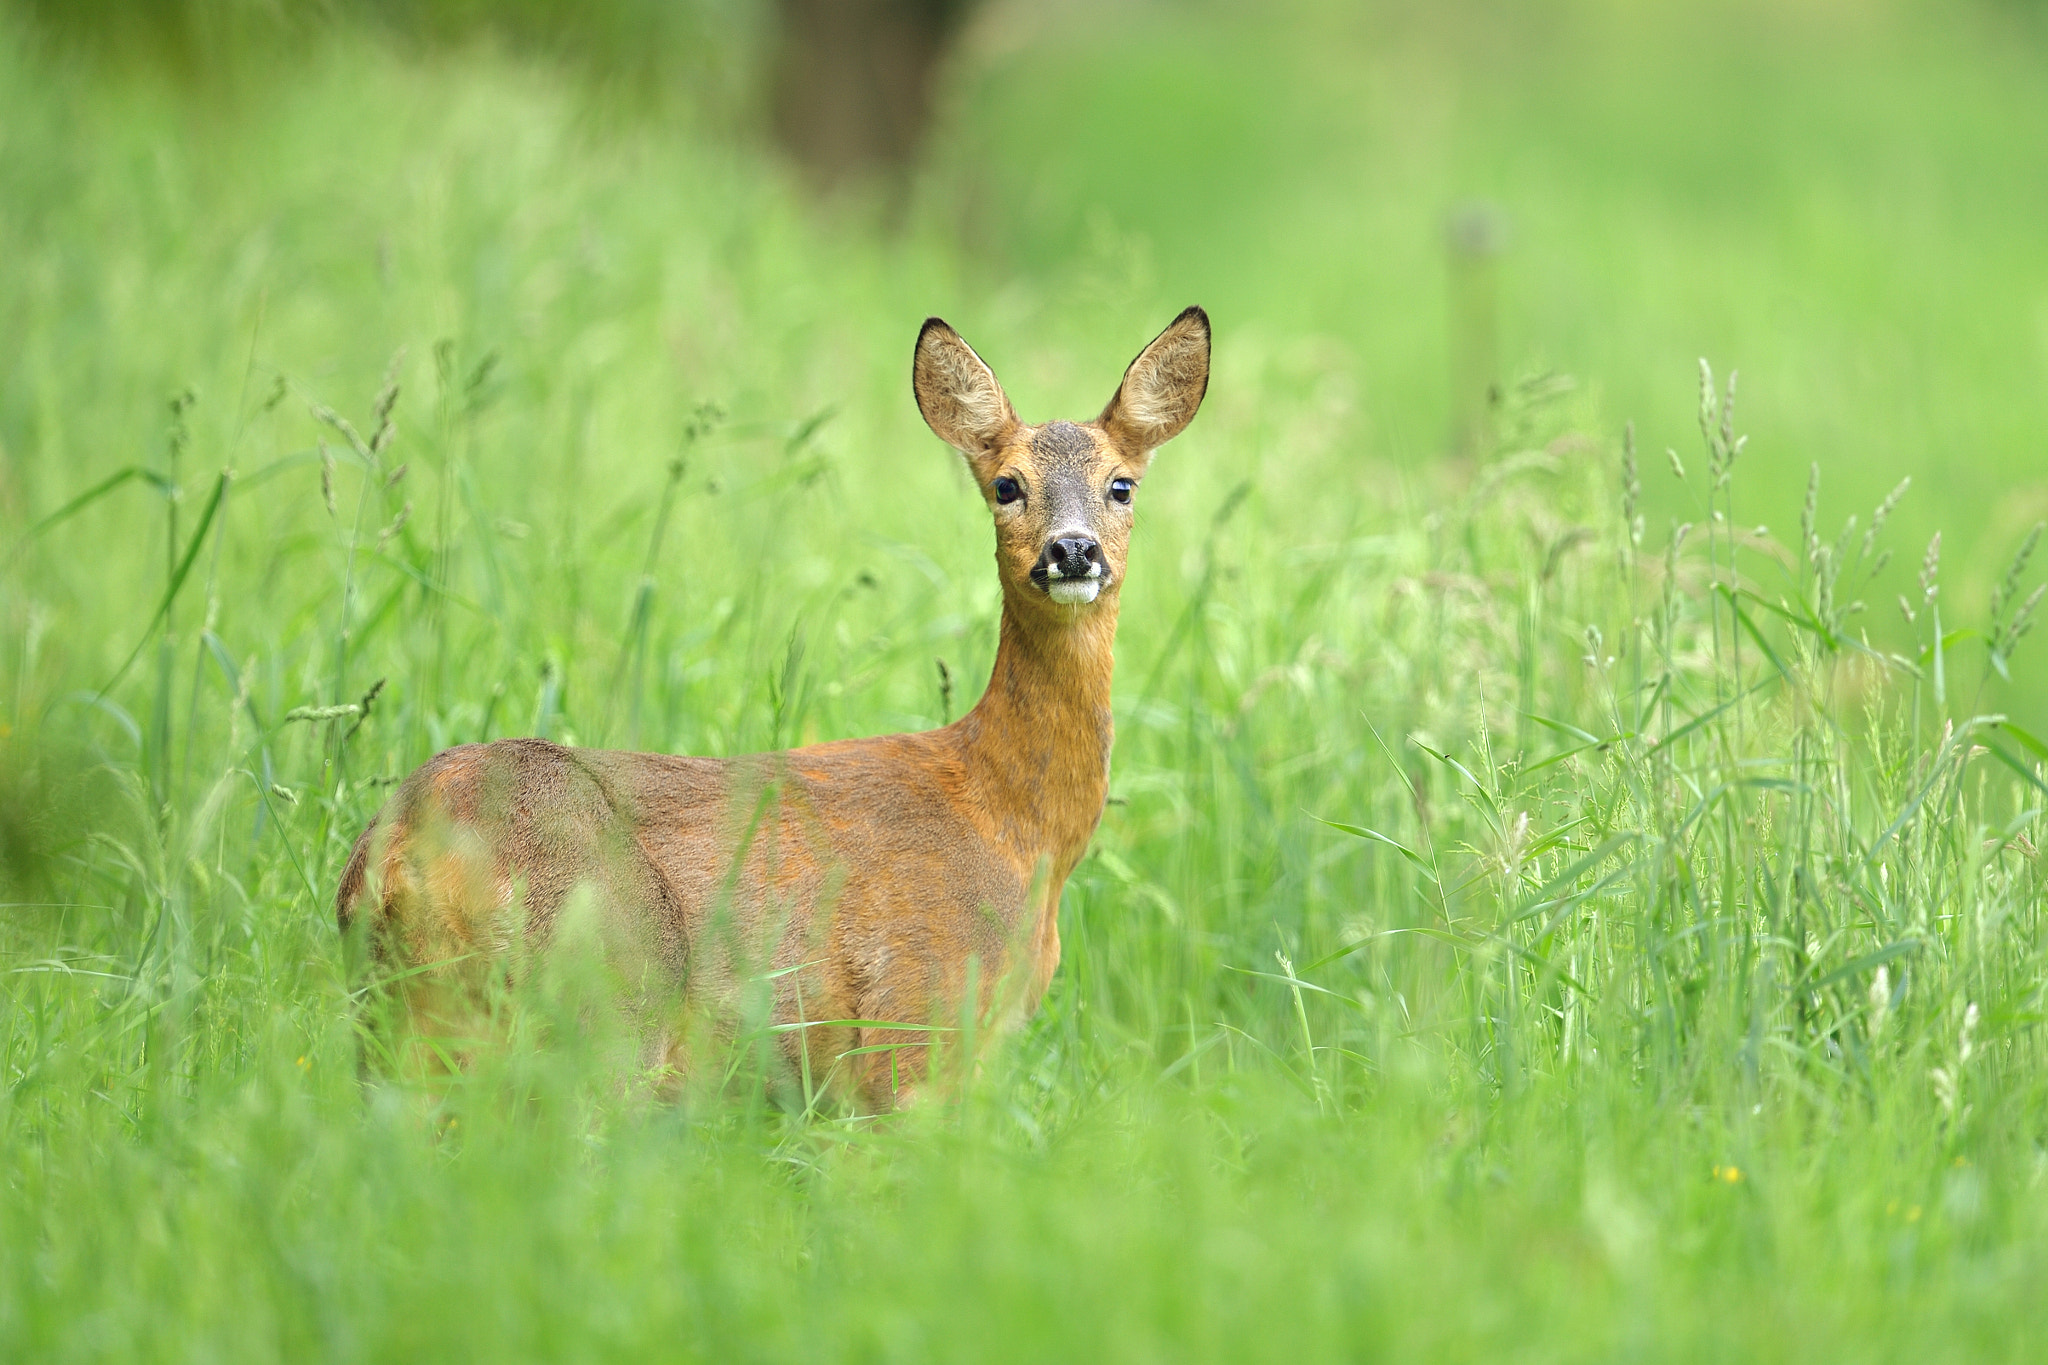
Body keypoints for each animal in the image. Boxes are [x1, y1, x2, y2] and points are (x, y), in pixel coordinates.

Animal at [329, 304, 1204, 1105]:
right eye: (1006, 485)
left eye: (1121, 485)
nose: (1071, 550)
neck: (1016, 824)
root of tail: (394, 849)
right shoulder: (911, 1030)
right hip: (603, 992)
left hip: (407, 1024)